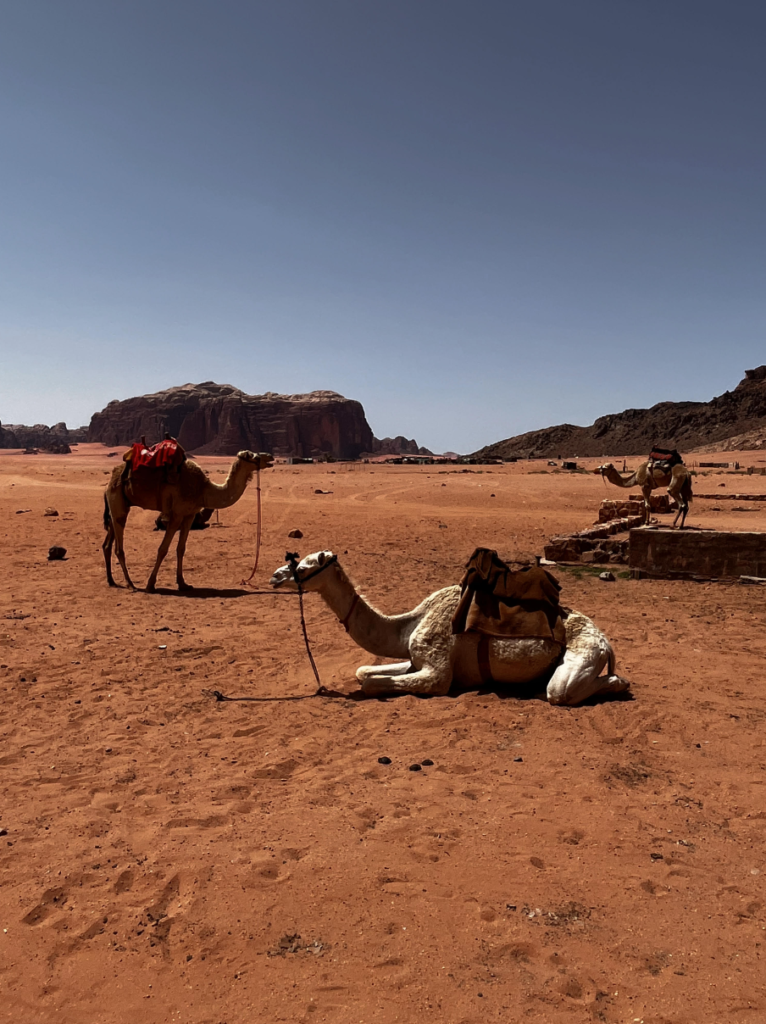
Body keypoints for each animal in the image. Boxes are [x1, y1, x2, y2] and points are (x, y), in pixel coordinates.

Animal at [102, 450, 272, 593]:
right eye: (252, 455)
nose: (270, 457)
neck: (203, 490)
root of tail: (111, 480)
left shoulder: (189, 515)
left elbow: (181, 549)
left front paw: (183, 583)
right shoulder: (176, 514)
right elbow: (162, 549)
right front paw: (151, 584)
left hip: (119, 505)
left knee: (107, 544)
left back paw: (111, 581)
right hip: (117, 500)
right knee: (119, 546)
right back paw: (130, 584)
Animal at [268, 552, 626, 704]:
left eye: (304, 566)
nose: (274, 576)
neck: (411, 623)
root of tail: (606, 643)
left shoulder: (437, 671)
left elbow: (377, 684)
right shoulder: (415, 657)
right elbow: (363, 672)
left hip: (582, 657)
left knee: (566, 690)